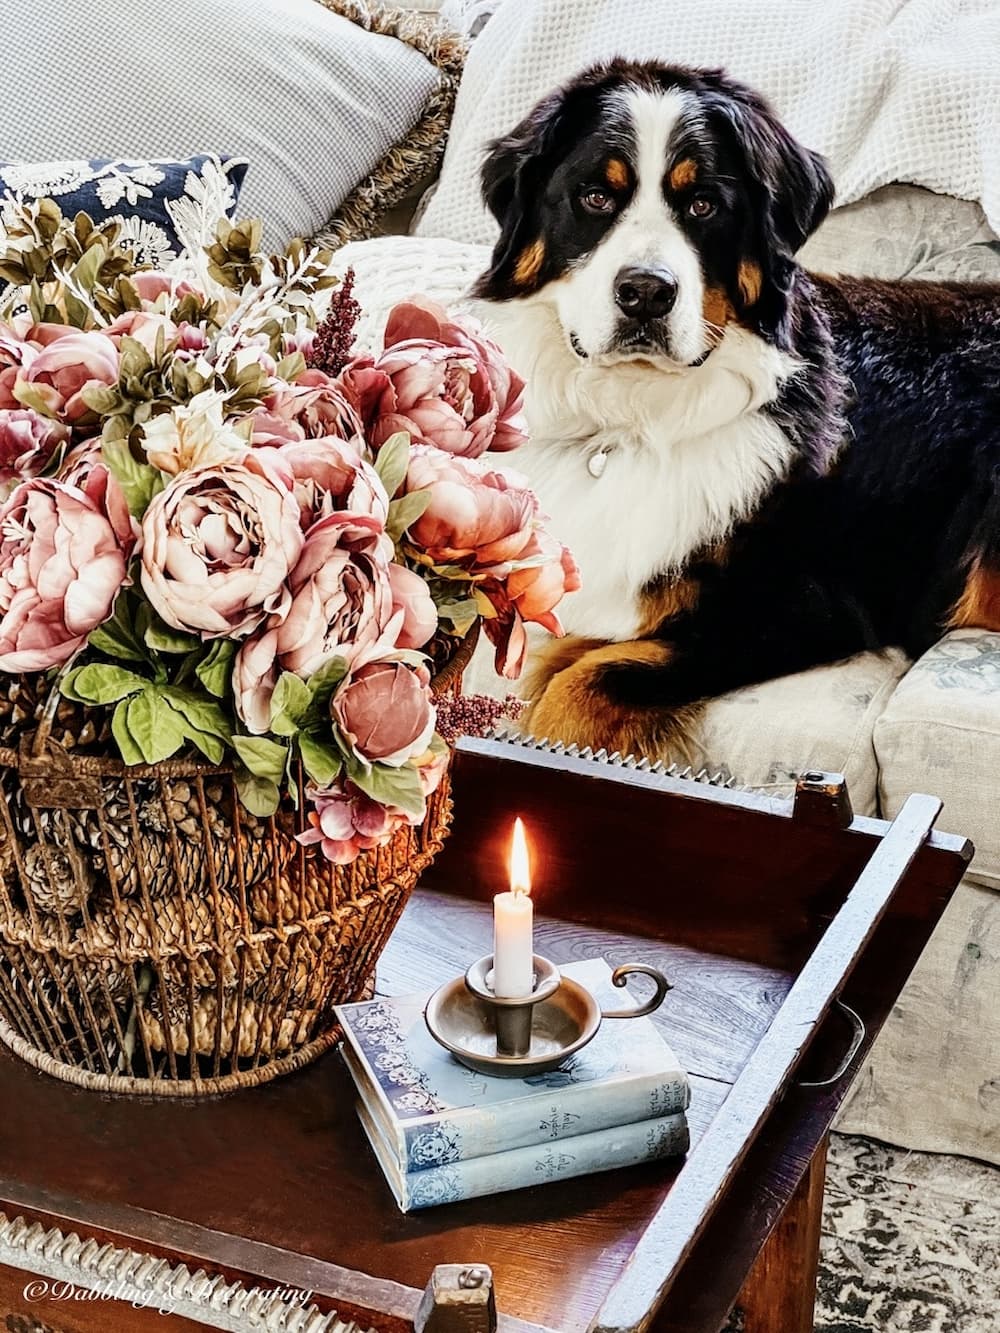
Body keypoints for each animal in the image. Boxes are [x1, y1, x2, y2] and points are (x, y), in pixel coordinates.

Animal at [469, 59, 1000, 762]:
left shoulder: (800, 605)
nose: (646, 292)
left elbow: (582, 688)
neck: (636, 417)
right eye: (595, 198)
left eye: (703, 206)